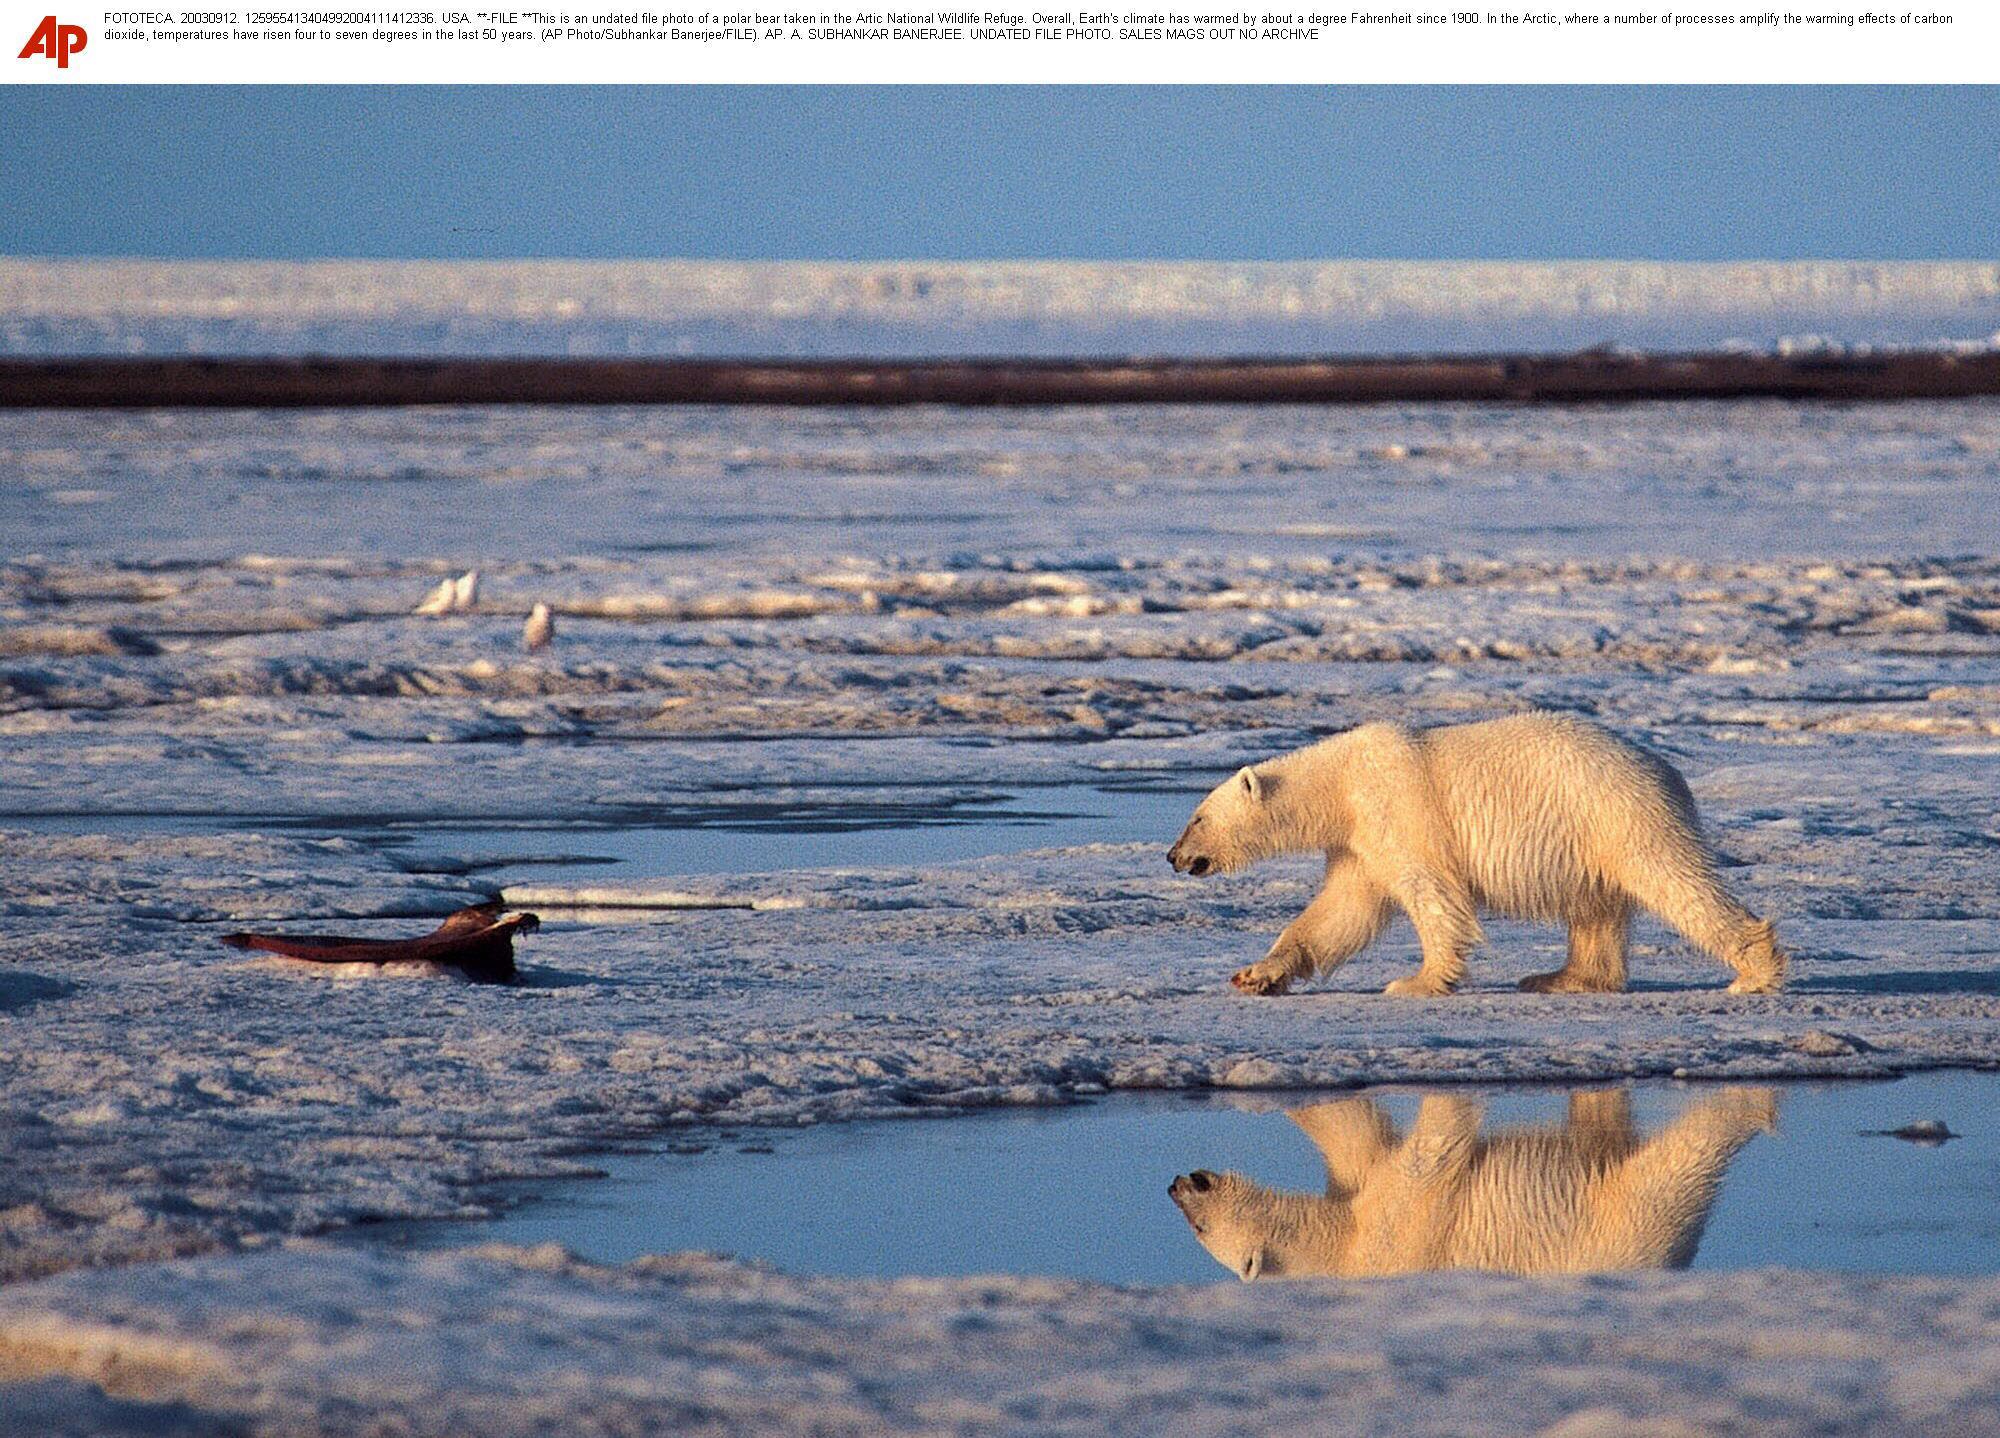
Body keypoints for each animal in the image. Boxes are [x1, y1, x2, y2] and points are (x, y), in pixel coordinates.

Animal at [1168, 712, 1792, 1000]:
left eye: (1196, 816)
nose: (1174, 856)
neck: (1340, 784)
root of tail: (1669, 771)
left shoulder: (1399, 810)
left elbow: (1432, 894)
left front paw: (1415, 982)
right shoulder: (1357, 843)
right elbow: (1341, 911)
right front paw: (1256, 974)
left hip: (1616, 813)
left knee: (1675, 881)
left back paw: (1753, 973)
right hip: (1592, 836)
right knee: (1595, 909)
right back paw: (1559, 978)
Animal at [1168, 1088, 1776, 1280]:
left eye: (1200, 1229)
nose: (1176, 1182)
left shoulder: (1401, 1229)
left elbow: (1423, 1160)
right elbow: (1353, 1141)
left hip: (1623, 1217)